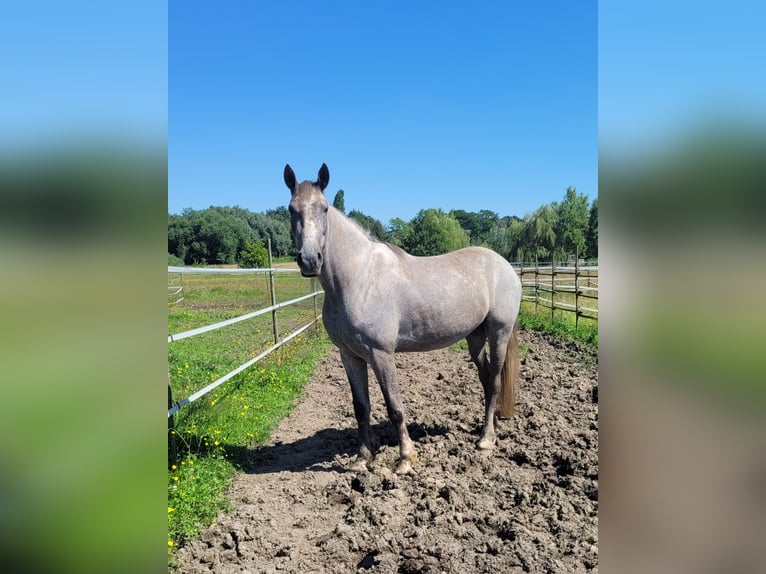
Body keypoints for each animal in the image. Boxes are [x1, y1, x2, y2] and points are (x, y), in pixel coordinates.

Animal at [284, 163, 524, 476]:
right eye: (291, 209)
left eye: (324, 208)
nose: (310, 260)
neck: (358, 279)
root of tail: (506, 266)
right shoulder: (350, 356)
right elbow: (361, 407)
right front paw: (362, 459)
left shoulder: (381, 354)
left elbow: (394, 407)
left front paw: (406, 459)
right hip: (474, 337)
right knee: (485, 379)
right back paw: (490, 427)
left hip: (499, 332)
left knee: (494, 382)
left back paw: (485, 441)